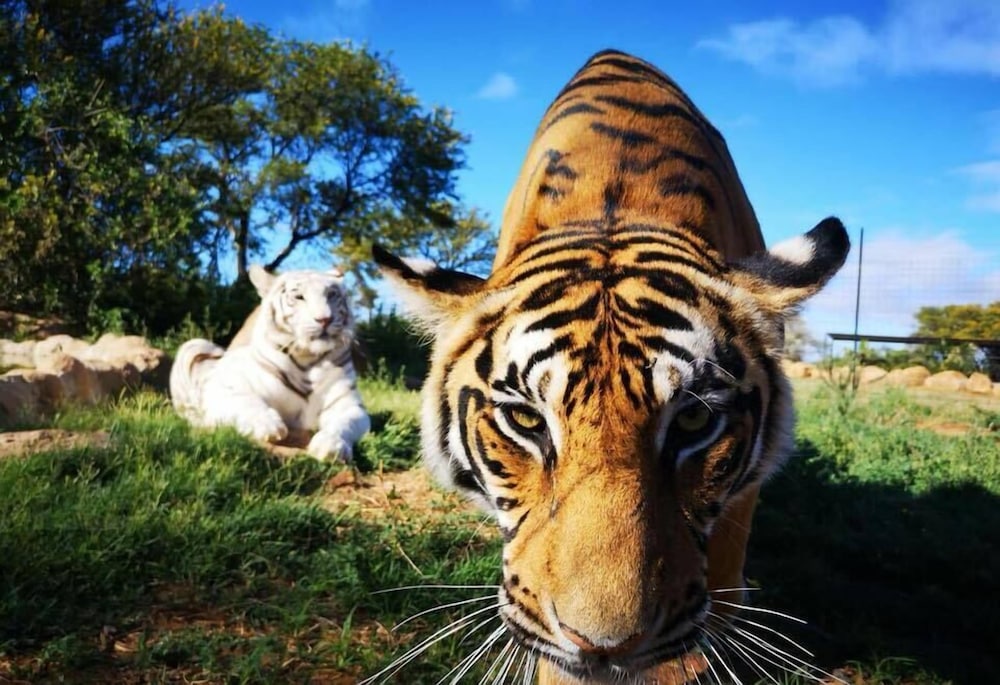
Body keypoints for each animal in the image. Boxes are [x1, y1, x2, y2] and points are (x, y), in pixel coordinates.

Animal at [169, 265, 370, 462]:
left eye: (331, 295)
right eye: (299, 297)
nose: (325, 319)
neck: (307, 359)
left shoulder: (349, 404)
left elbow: (344, 423)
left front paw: (331, 446)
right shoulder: (224, 385)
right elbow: (246, 401)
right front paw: (268, 425)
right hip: (195, 345)